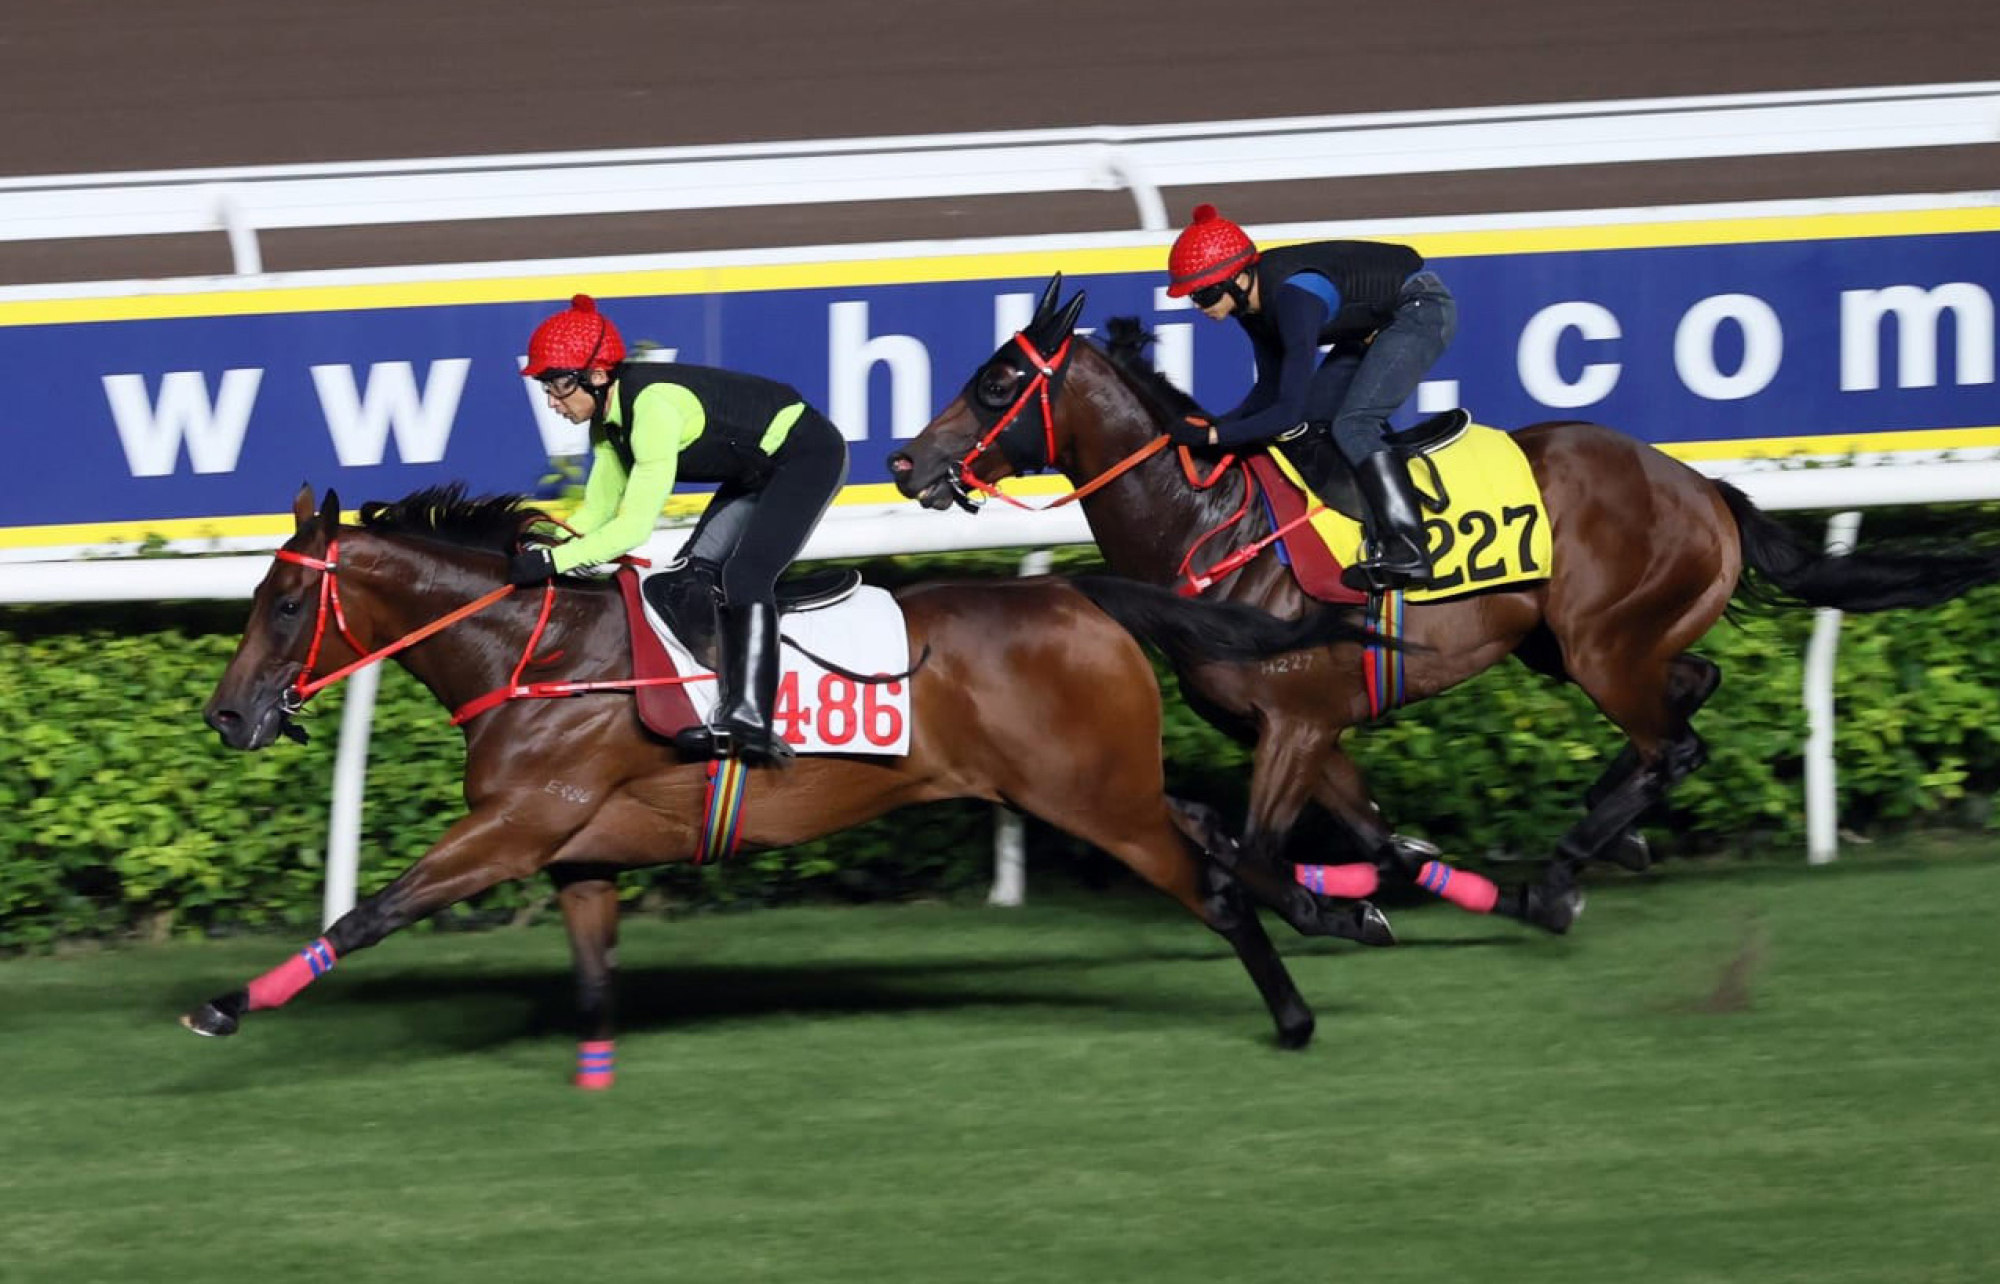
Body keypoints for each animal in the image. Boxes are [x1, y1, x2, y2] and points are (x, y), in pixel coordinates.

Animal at [884, 276, 2000, 924]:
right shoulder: (1303, 731)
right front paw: (1391, 880)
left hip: (1601, 644)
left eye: (994, 384)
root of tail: (1699, 485)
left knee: (1673, 741)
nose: (907, 462)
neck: (1212, 527)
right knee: (1691, 687)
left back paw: (1561, 874)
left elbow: (1258, 852)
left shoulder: (1295, 722)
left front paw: (1341, 907)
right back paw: (1614, 831)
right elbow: (1367, 833)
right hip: (1572, 644)